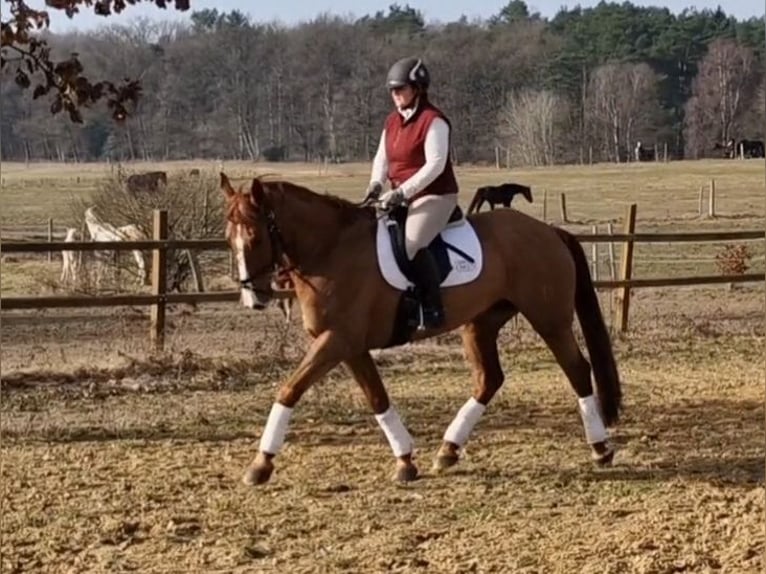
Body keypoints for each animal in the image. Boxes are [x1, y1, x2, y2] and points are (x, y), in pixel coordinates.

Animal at [219, 172, 622, 486]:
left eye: (254, 236)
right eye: (228, 238)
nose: (253, 298)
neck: (330, 250)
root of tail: (548, 230)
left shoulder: (336, 342)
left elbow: (289, 389)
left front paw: (260, 464)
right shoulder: (350, 346)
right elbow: (377, 398)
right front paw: (405, 461)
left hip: (549, 319)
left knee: (577, 370)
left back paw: (600, 448)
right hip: (480, 323)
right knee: (489, 379)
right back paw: (448, 450)